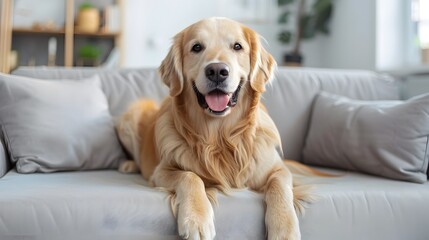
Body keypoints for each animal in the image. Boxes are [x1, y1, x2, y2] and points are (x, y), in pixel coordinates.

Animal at [117, 17, 314, 240]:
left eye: (237, 46)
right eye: (196, 47)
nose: (217, 71)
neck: (219, 136)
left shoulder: (278, 169)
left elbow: (280, 186)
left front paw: (284, 228)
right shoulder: (161, 171)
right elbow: (190, 176)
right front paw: (196, 219)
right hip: (130, 117)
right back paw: (129, 165)